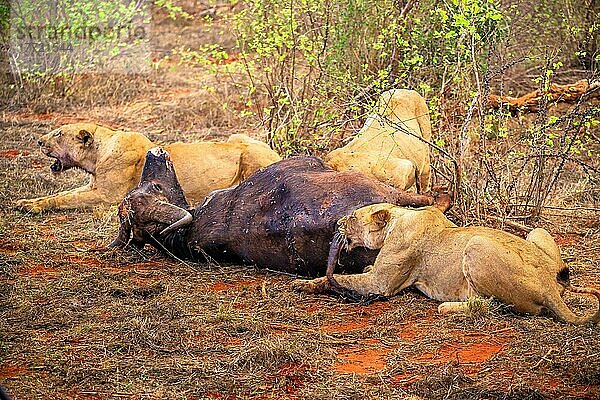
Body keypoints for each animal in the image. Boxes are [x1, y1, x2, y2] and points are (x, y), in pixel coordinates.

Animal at [109, 148, 450, 276]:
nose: (154, 152)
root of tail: (340, 229)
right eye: (154, 187)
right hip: (377, 187)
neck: (188, 231)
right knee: (434, 201)